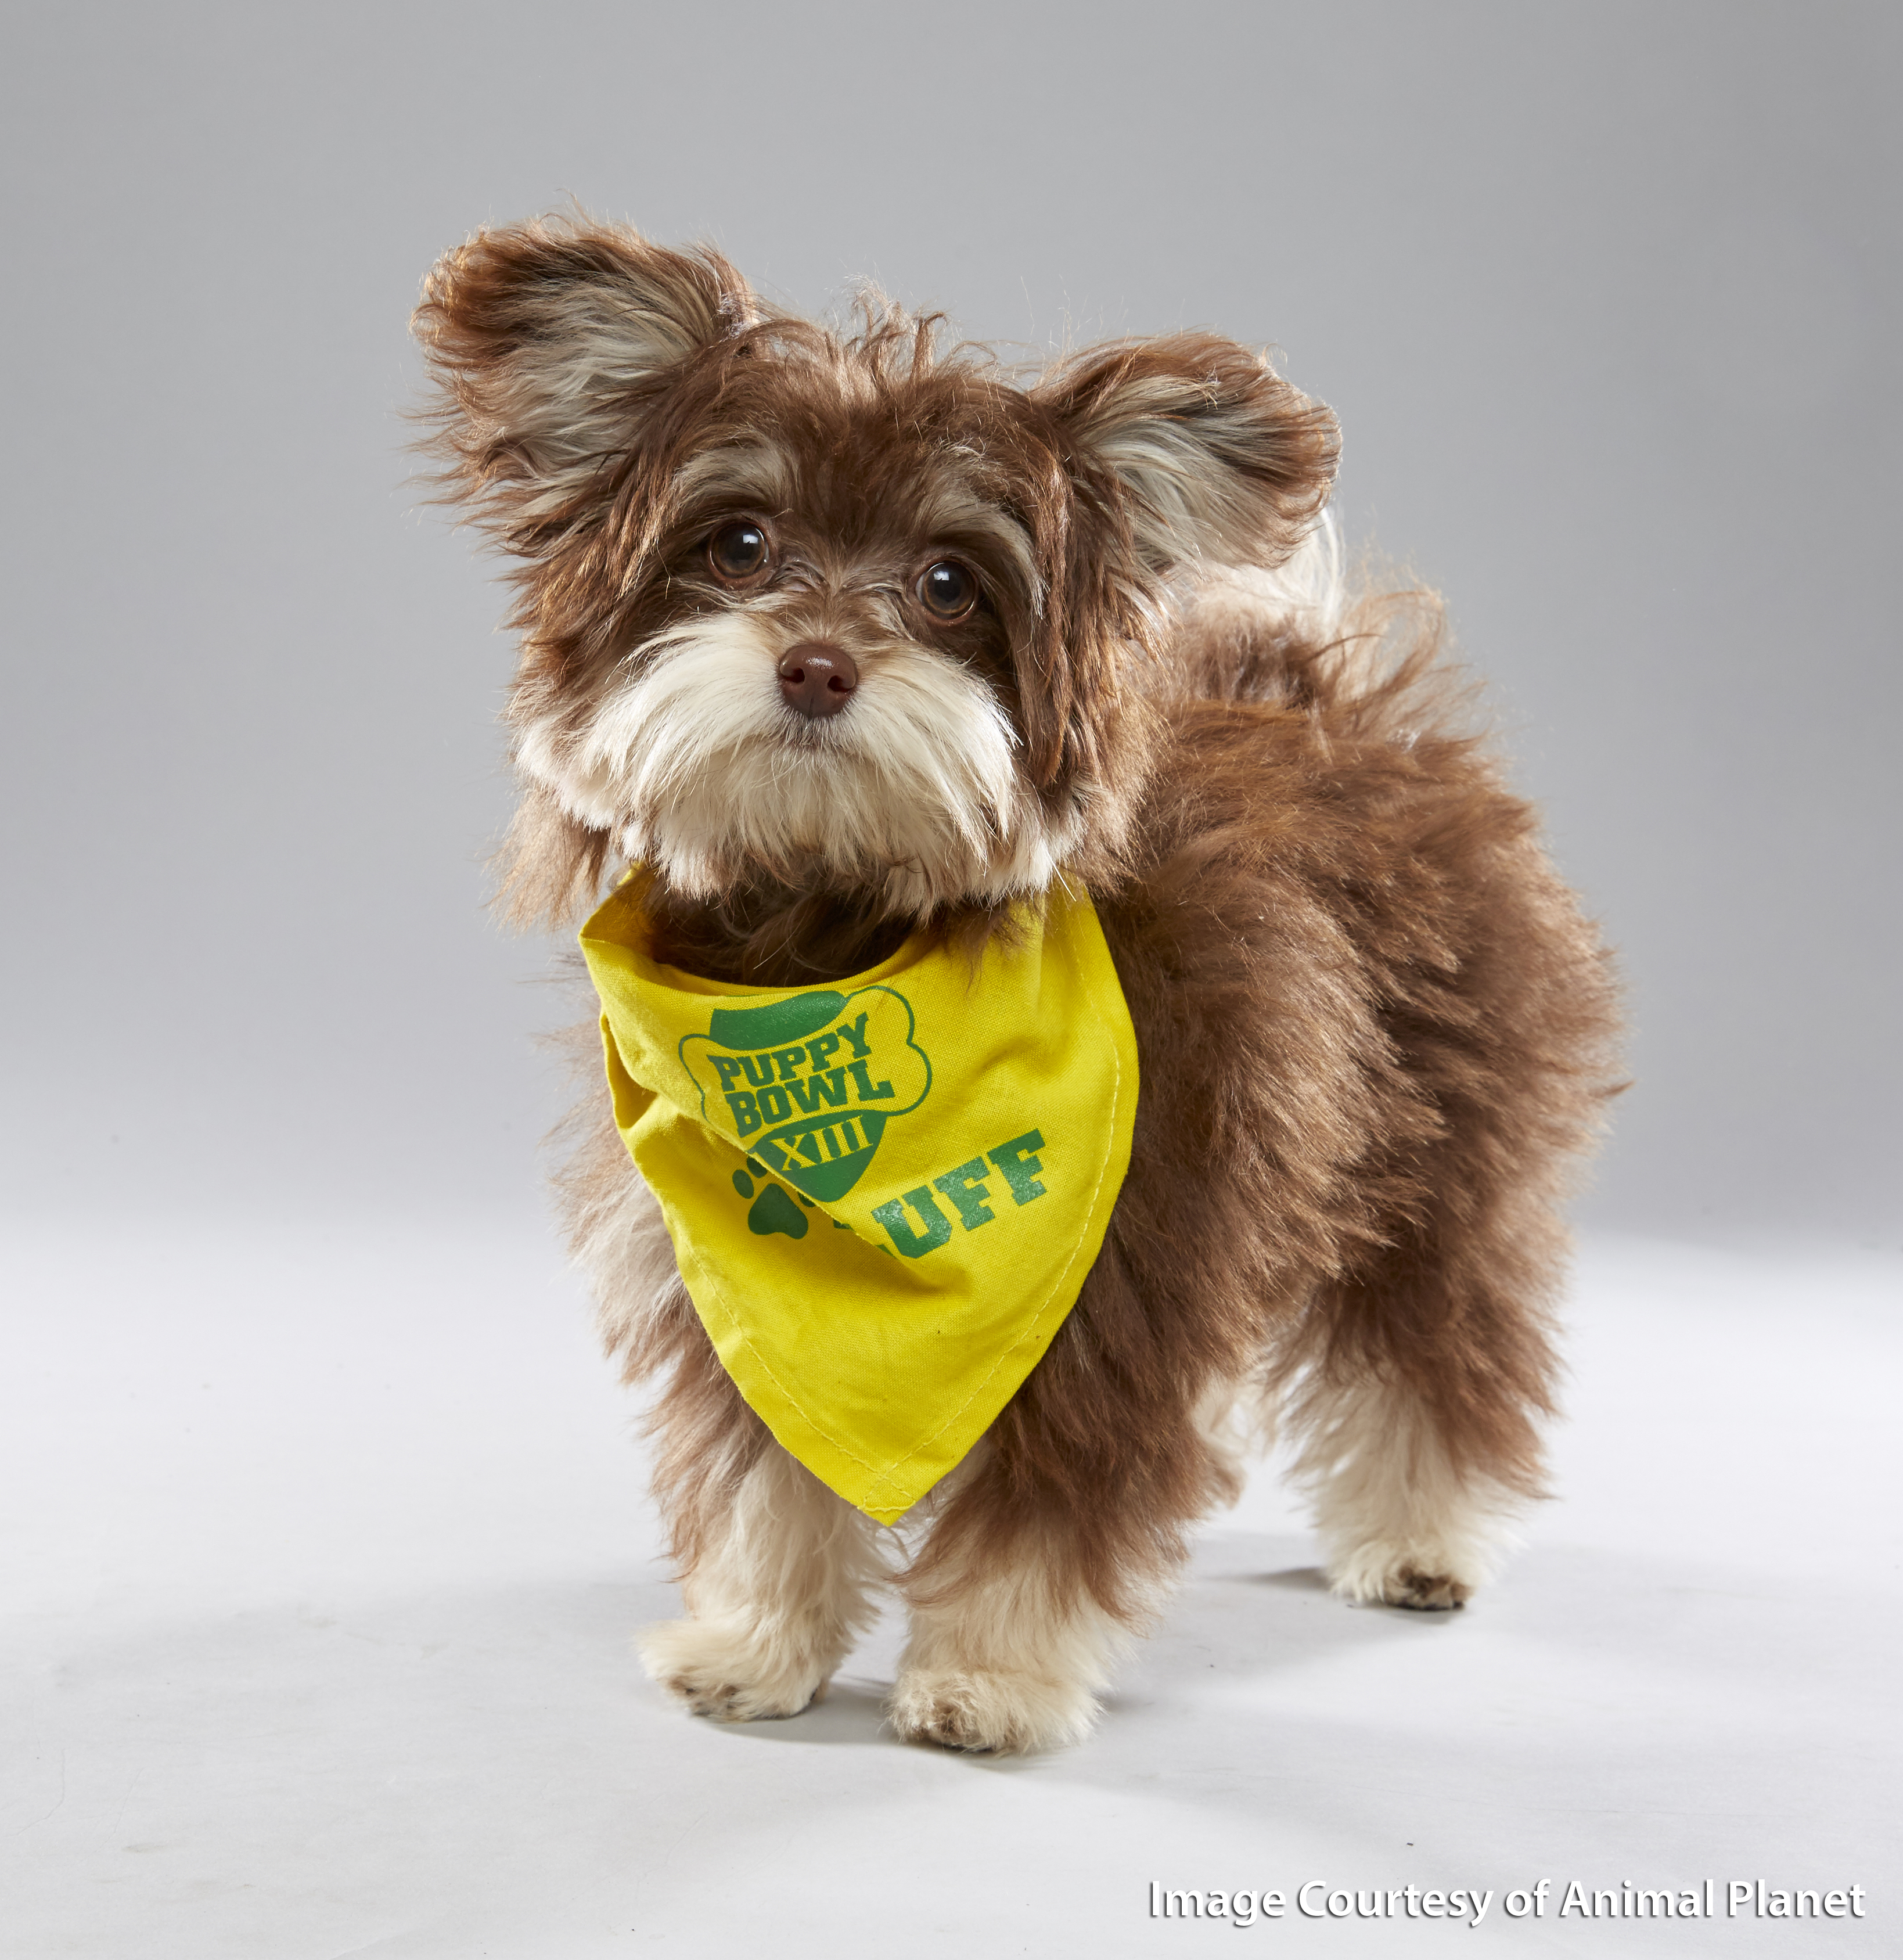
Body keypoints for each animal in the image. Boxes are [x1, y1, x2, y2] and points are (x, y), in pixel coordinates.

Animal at [409, 218, 1614, 1764]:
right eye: (737, 545)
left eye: (948, 583)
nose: (817, 664)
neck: (831, 933)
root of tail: (1331, 706)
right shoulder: (729, 1287)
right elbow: (767, 1475)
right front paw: (757, 1639)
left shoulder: (1122, 1264)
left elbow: (1048, 1502)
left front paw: (988, 1676)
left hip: (1440, 1149)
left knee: (1436, 1341)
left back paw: (1424, 1536)